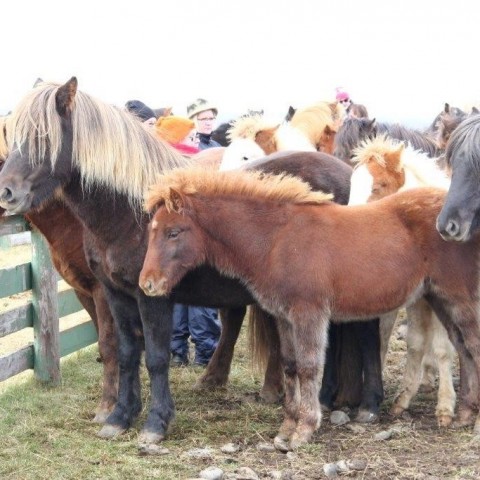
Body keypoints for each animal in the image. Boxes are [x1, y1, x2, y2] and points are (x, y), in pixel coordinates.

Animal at [140, 168, 480, 450]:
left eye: (173, 232)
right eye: (150, 231)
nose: (147, 283)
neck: (276, 240)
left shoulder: (309, 313)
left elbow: (308, 366)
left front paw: (305, 429)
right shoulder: (284, 316)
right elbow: (290, 366)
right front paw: (286, 428)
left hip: (458, 298)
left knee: (472, 346)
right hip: (439, 299)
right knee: (463, 348)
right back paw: (464, 414)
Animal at [348, 136, 454, 428]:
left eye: (379, 185)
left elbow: (442, 348)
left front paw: (445, 408)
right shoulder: (413, 301)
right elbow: (411, 342)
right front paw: (398, 398)